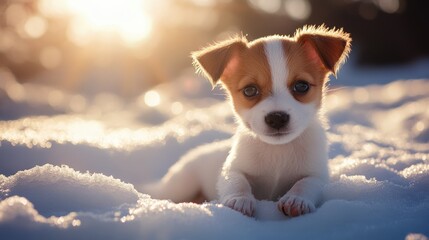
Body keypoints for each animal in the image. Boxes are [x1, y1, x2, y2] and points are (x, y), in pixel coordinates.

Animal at [142, 24, 350, 218]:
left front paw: (296, 199)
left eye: (301, 86)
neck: (278, 152)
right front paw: (239, 200)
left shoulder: (318, 174)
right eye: (250, 90)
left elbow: (307, 183)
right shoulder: (232, 168)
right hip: (181, 184)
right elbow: (236, 181)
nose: (277, 118)